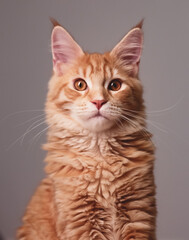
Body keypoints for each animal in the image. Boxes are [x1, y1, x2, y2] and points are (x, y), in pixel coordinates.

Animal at [17, 20, 157, 240]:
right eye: (80, 85)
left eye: (115, 85)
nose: (98, 101)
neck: (100, 160)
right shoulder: (79, 221)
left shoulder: (138, 213)